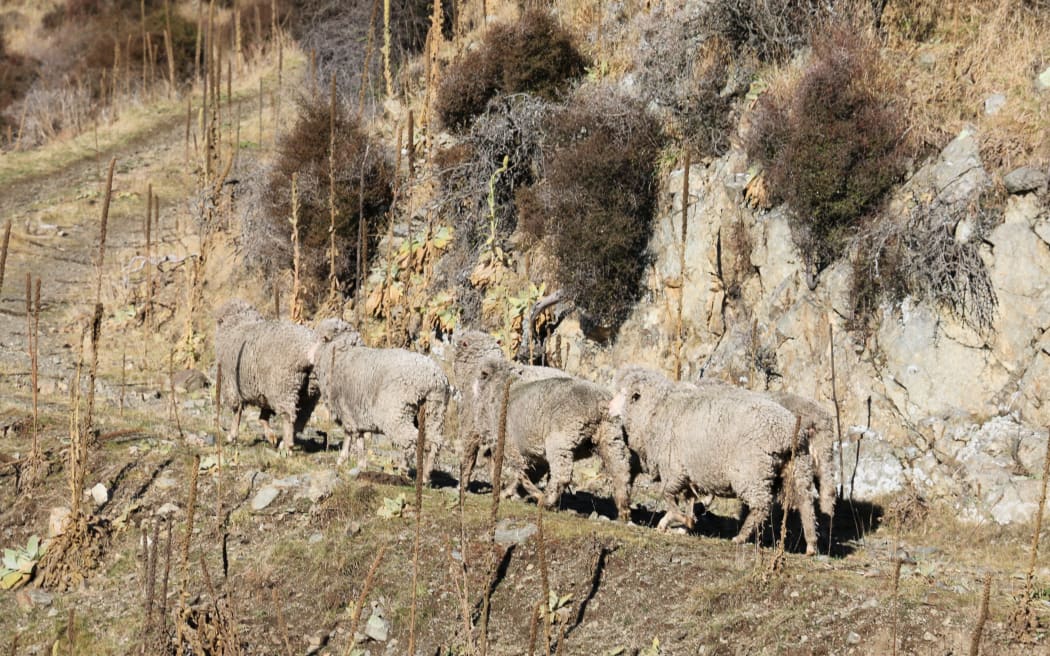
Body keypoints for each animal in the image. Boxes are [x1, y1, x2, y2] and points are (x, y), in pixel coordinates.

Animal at [213, 299, 321, 451]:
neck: (238, 323)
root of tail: (307, 350)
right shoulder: (263, 390)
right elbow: (263, 416)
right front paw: (271, 436)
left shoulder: (232, 385)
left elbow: (237, 412)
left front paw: (232, 435)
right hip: (310, 391)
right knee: (301, 418)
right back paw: (286, 441)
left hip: (283, 386)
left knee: (288, 416)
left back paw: (287, 445)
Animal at [313, 330, 451, 483]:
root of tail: (431, 378)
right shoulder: (356, 414)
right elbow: (359, 438)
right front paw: (361, 464)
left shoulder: (346, 410)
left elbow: (349, 435)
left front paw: (342, 459)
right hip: (436, 408)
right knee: (433, 442)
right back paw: (426, 476)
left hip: (396, 413)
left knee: (410, 440)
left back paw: (403, 470)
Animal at [469, 355, 632, 519]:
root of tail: (600, 403)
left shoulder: (509, 444)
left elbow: (518, 471)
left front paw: (509, 492)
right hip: (611, 436)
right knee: (621, 472)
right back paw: (624, 510)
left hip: (560, 440)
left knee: (562, 475)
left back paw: (547, 501)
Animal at [610, 366, 819, 555]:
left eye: (624, 394)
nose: (609, 409)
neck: (656, 411)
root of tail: (787, 432)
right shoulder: (688, 474)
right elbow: (688, 501)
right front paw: (681, 525)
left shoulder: (674, 470)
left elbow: (668, 495)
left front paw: (677, 520)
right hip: (799, 468)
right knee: (806, 503)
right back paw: (811, 545)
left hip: (752, 473)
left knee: (761, 505)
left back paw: (741, 537)